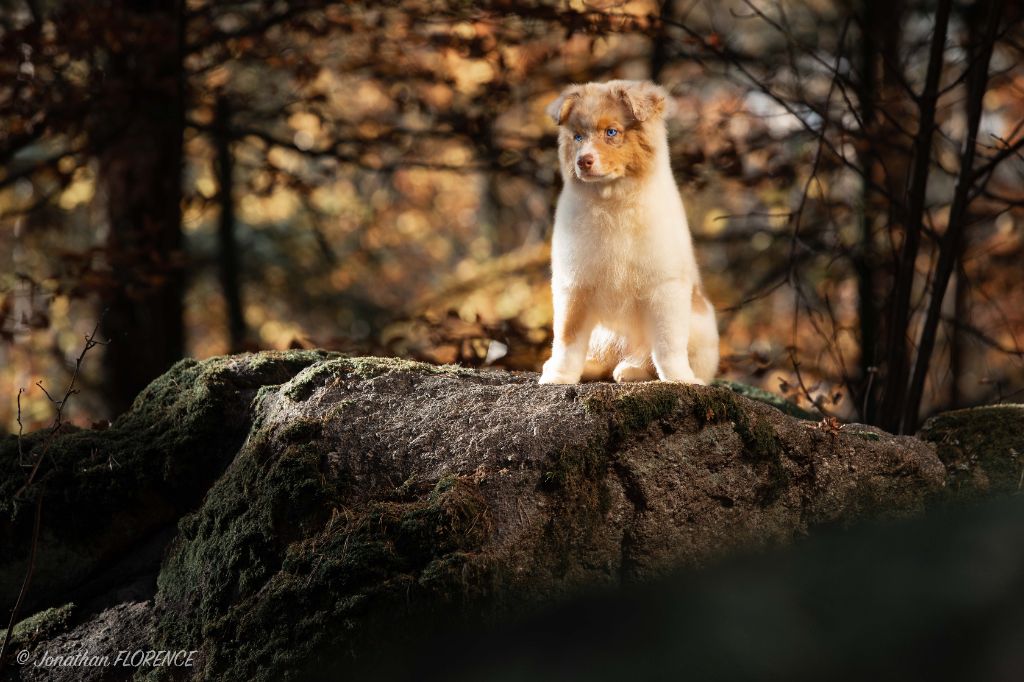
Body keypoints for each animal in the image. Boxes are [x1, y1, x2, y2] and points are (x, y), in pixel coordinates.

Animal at [536, 78, 720, 382]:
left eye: (612, 132)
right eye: (577, 137)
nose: (583, 161)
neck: (613, 202)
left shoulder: (665, 287)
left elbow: (668, 344)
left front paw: (680, 379)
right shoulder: (574, 284)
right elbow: (567, 337)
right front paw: (558, 377)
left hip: (700, 325)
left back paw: (632, 370)